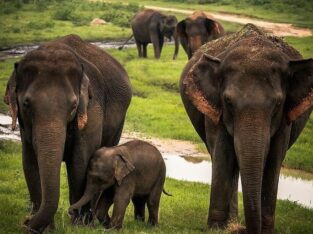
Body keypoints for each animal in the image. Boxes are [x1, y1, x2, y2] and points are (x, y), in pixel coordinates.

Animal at [4, 33, 132, 233]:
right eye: (26, 104)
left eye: (73, 105)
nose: (25, 221)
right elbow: (30, 164)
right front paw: (46, 229)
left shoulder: (92, 109)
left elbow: (80, 162)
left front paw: (78, 226)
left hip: (118, 125)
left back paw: (90, 222)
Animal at [179, 24, 310, 234]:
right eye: (228, 101)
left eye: (278, 103)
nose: (242, 230)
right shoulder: (216, 112)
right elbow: (223, 153)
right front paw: (216, 229)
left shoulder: (284, 119)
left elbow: (274, 160)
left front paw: (266, 231)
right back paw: (229, 222)